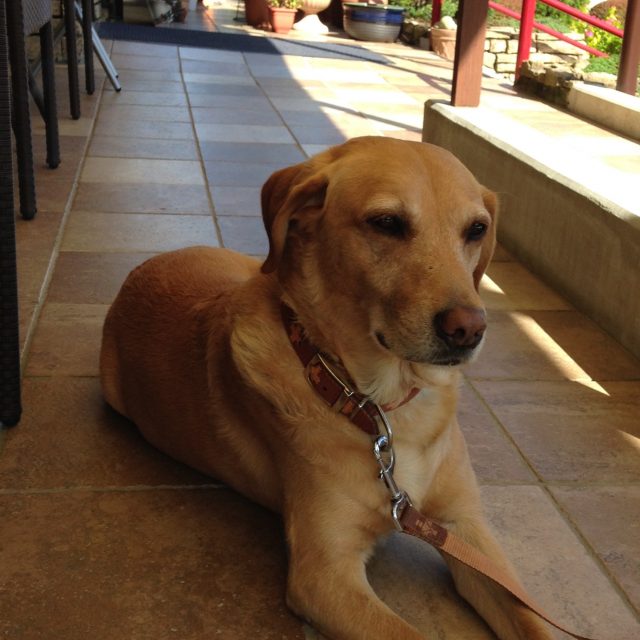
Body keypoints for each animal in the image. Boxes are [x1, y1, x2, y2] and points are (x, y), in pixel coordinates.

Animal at [100, 136, 553, 639]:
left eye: (476, 230)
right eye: (386, 223)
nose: (468, 329)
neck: (381, 407)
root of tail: (147, 264)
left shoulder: (469, 531)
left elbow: (534, 623)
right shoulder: (325, 574)